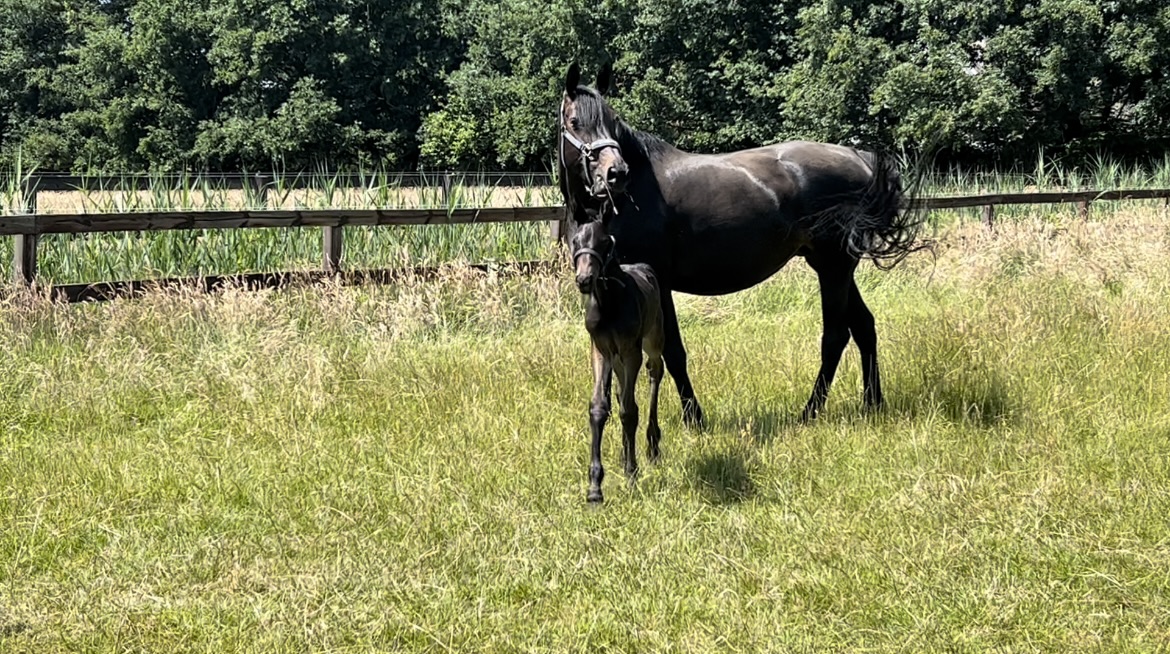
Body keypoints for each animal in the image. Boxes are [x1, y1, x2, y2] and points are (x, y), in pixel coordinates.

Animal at [557, 62, 926, 427]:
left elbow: (672, 352)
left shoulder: (658, 282)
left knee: (835, 335)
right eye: (575, 122)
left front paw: (694, 419)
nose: (617, 173)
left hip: (833, 268)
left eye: (612, 120)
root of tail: (860, 157)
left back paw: (810, 412)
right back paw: (872, 404)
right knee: (864, 326)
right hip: (834, 267)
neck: (626, 200)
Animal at [571, 219, 665, 503]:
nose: (584, 279)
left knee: (656, 370)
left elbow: (629, 410)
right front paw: (594, 488)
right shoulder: (600, 350)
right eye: (575, 241)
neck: (609, 302)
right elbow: (600, 407)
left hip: (652, 339)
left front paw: (632, 475)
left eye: (604, 241)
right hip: (617, 359)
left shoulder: (630, 350)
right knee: (623, 386)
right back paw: (625, 453)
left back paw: (652, 445)